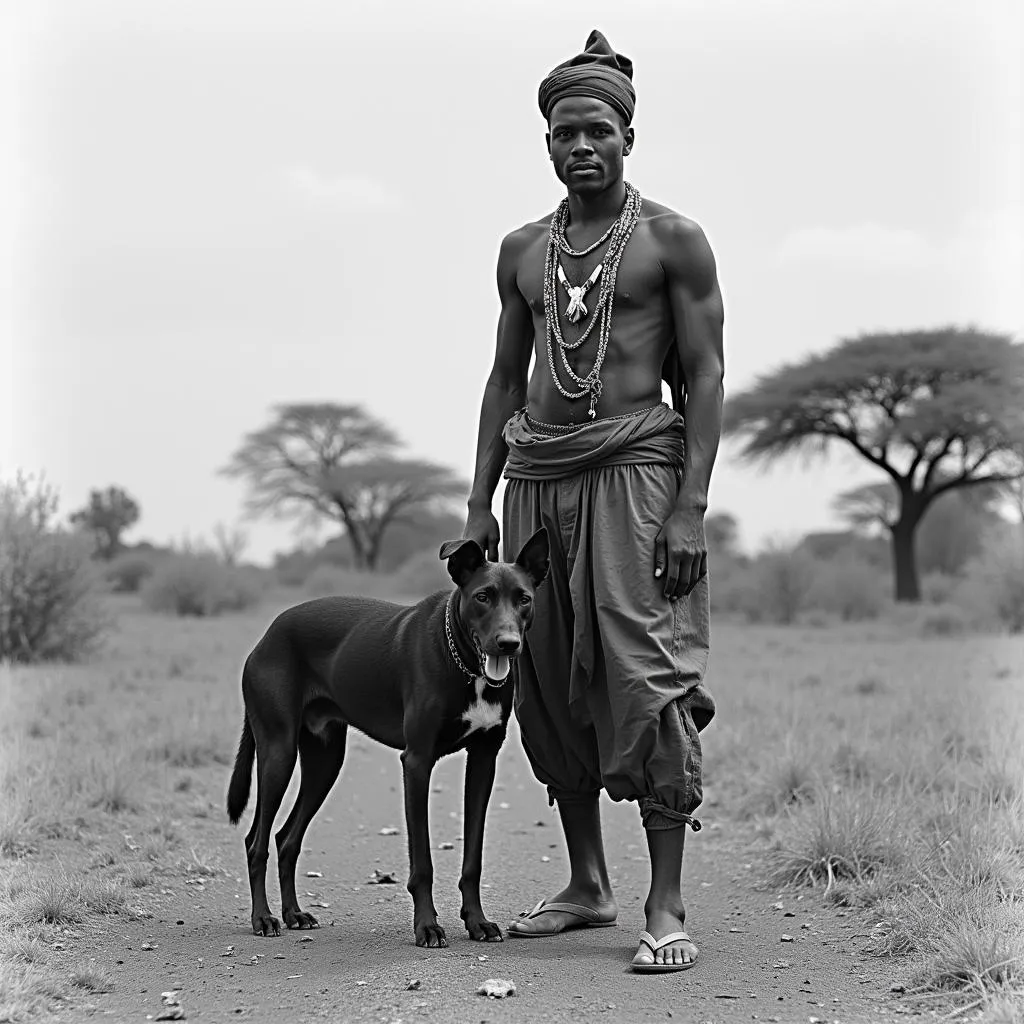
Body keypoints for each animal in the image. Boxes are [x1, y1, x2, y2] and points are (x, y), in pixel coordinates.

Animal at [227, 532, 548, 946]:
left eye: (523, 598)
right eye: (482, 596)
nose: (507, 643)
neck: (466, 666)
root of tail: (267, 637)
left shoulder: (483, 761)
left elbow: (473, 858)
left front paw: (477, 921)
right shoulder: (417, 762)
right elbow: (422, 861)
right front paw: (427, 926)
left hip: (324, 762)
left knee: (286, 839)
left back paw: (294, 913)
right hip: (277, 754)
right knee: (257, 841)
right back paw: (263, 918)